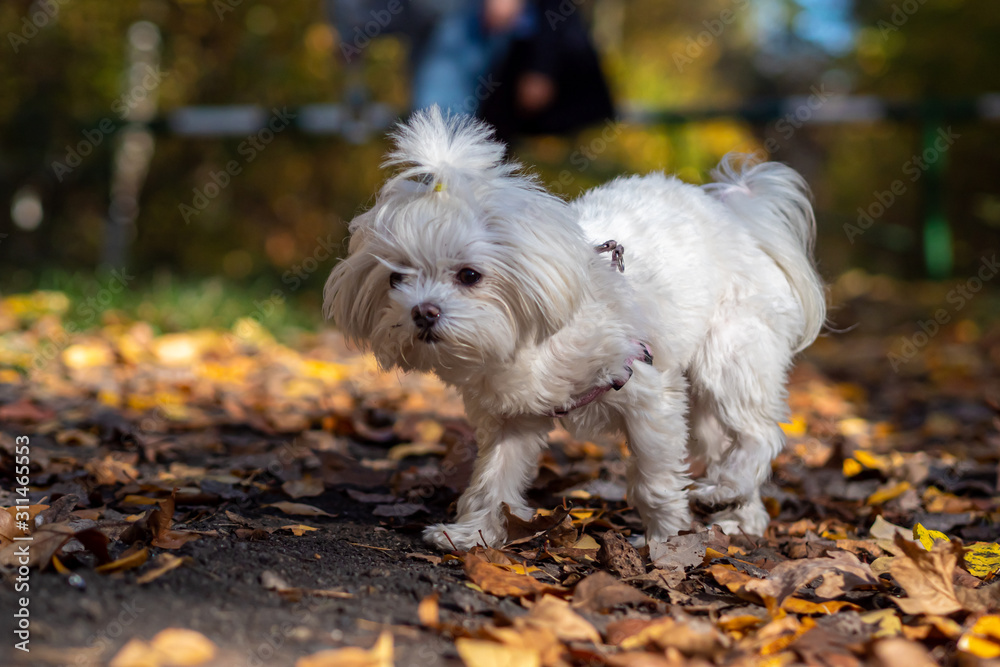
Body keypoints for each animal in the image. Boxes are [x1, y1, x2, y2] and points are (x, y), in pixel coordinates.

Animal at [324, 107, 824, 552]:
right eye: (396, 278)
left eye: (469, 275)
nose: (423, 312)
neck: (528, 347)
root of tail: (738, 218)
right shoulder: (510, 419)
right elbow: (492, 479)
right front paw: (471, 534)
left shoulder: (647, 392)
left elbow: (655, 481)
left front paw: (666, 541)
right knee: (727, 444)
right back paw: (741, 515)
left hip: (729, 359)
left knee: (758, 435)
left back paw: (723, 491)